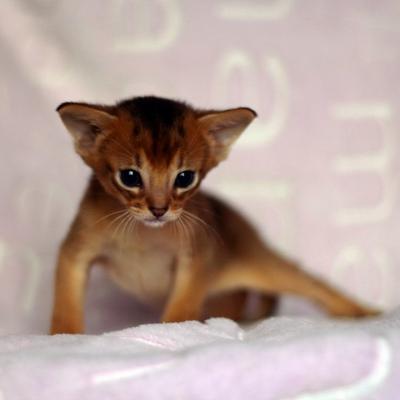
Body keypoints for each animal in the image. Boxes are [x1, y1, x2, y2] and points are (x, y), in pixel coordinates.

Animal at [50, 95, 378, 332]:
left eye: (185, 178)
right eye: (129, 177)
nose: (159, 209)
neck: (143, 235)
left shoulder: (196, 260)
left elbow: (182, 308)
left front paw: (170, 331)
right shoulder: (74, 254)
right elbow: (65, 304)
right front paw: (65, 337)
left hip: (263, 265)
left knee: (314, 285)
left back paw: (365, 312)